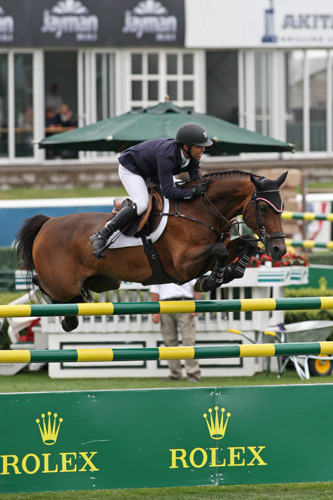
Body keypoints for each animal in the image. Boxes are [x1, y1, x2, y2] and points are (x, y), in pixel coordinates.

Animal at [14, 171, 286, 332]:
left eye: (281, 207)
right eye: (263, 208)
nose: (279, 249)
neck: (200, 210)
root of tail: (48, 223)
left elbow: (247, 242)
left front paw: (229, 273)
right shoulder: (183, 265)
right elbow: (219, 250)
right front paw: (212, 280)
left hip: (105, 281)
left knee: (76, 295)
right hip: (63, 284)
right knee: (46, 287)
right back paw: (67, 317)